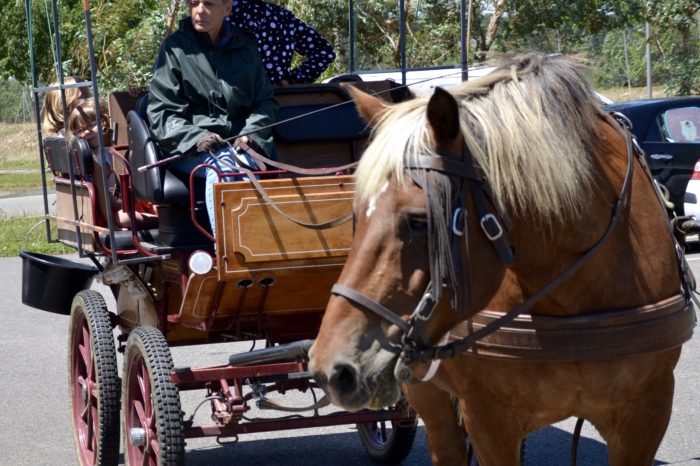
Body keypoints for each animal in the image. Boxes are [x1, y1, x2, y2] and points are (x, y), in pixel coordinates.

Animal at [308, 52, 696, 464]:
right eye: (355, 215)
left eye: (418, 221)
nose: (332, 367)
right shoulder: (489, 419)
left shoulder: (646, 413)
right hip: (428, 394)